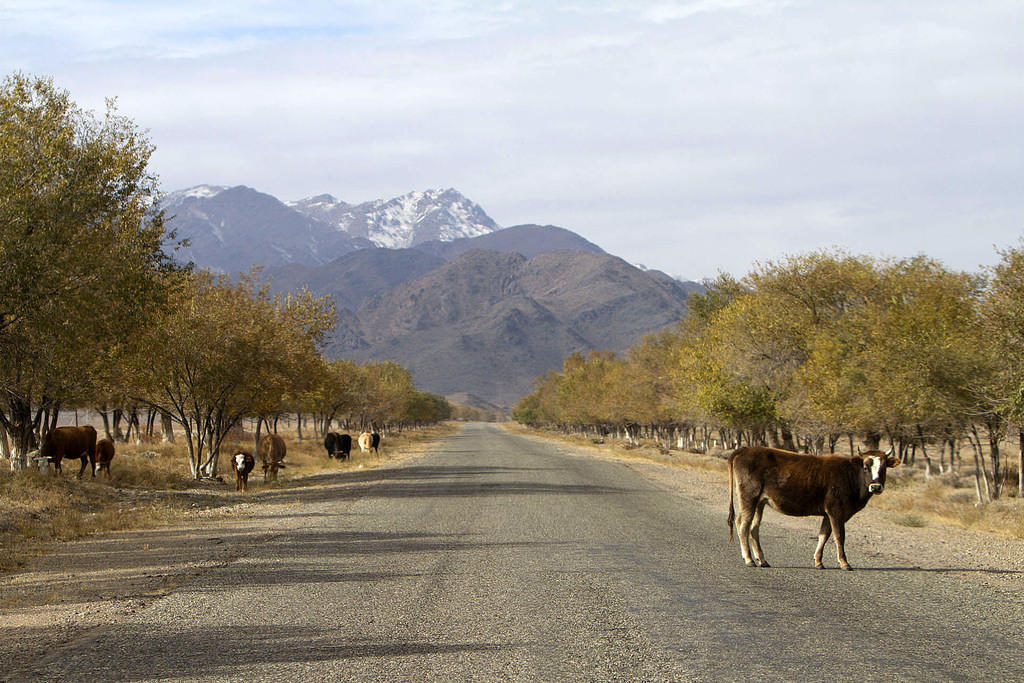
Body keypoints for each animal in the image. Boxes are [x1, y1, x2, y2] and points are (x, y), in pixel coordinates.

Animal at [724, 446, 901, 569]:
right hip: (749, 497)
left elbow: (823, 535)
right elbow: (839, 536)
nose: (876, 487)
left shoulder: (827, 513)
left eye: (883, 467)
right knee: (743, 524)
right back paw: (749, 559)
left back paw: (762, 560)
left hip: (760, 502)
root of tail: (746, 449)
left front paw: (818, 561)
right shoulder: (836, 511)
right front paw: (844, 563)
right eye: (866, 466)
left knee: (754, 528)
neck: (850, 475)